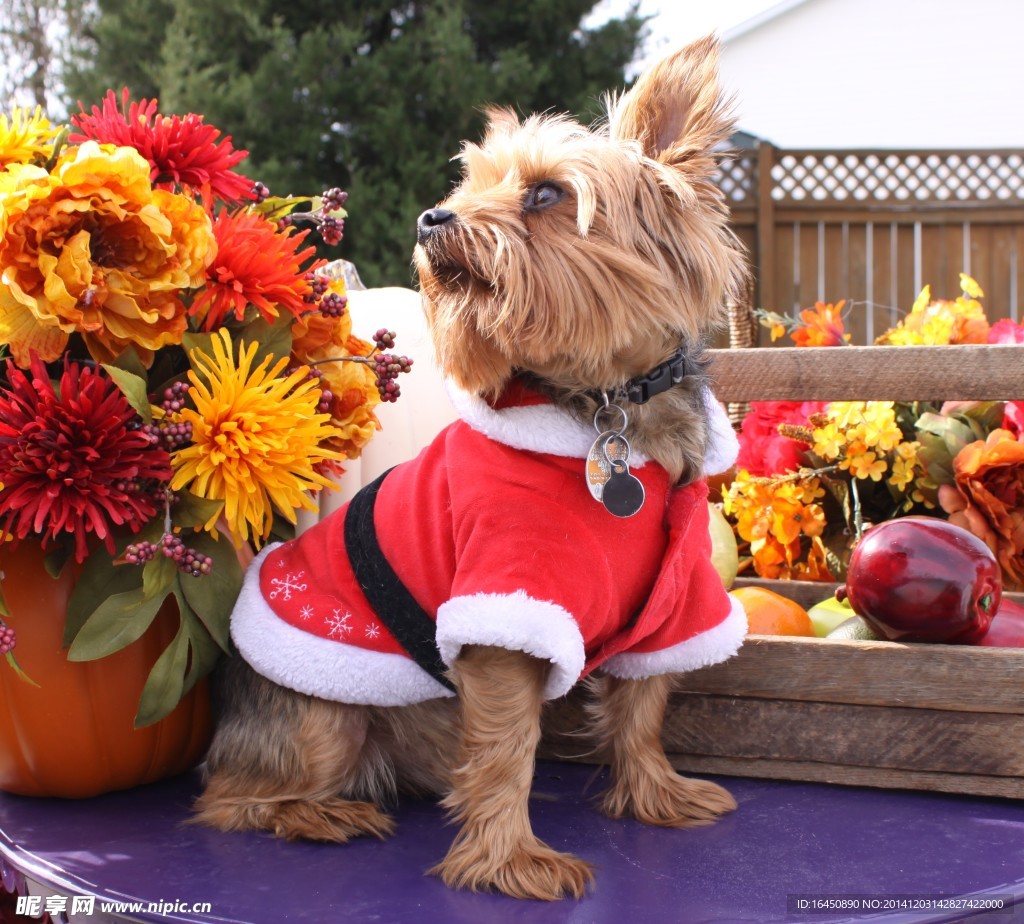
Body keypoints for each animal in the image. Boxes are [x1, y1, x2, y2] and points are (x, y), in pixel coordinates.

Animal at [195, 39, 749, 901]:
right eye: (467, 186)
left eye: (547, 193)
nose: (432, 218)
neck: (605, 408)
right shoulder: (502, 607)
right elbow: (505, 746)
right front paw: (509, 860)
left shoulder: (675, 600)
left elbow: (644, 703)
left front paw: (657, 793)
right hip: (318, 711)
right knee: (233, 797)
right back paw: (321, 813)